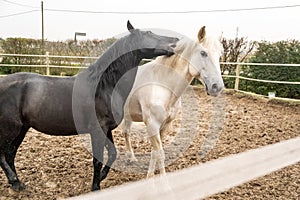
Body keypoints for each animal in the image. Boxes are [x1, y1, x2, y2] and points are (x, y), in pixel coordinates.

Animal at [0, 21, 178, 191]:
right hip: (10, 129)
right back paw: (15, 181)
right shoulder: (97, 130)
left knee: (10, 154)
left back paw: (17, 184)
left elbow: (112, 154)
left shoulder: (106, 129)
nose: (175, 41)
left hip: (21, 129)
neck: (104, 86)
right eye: (149, 33)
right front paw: (95, 186)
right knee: (3, 154)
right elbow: (97, 160)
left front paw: (102, 178)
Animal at [119, 27, 223, 178]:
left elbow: (155, 153)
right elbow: (160, 154)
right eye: (203, 53)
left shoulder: (165, 125)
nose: (217, 87)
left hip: (128, 115)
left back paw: (131, 158)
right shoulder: (152, 125)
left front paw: (150, 176)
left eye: (220, 55)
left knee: (126, 132)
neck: (162, 83)